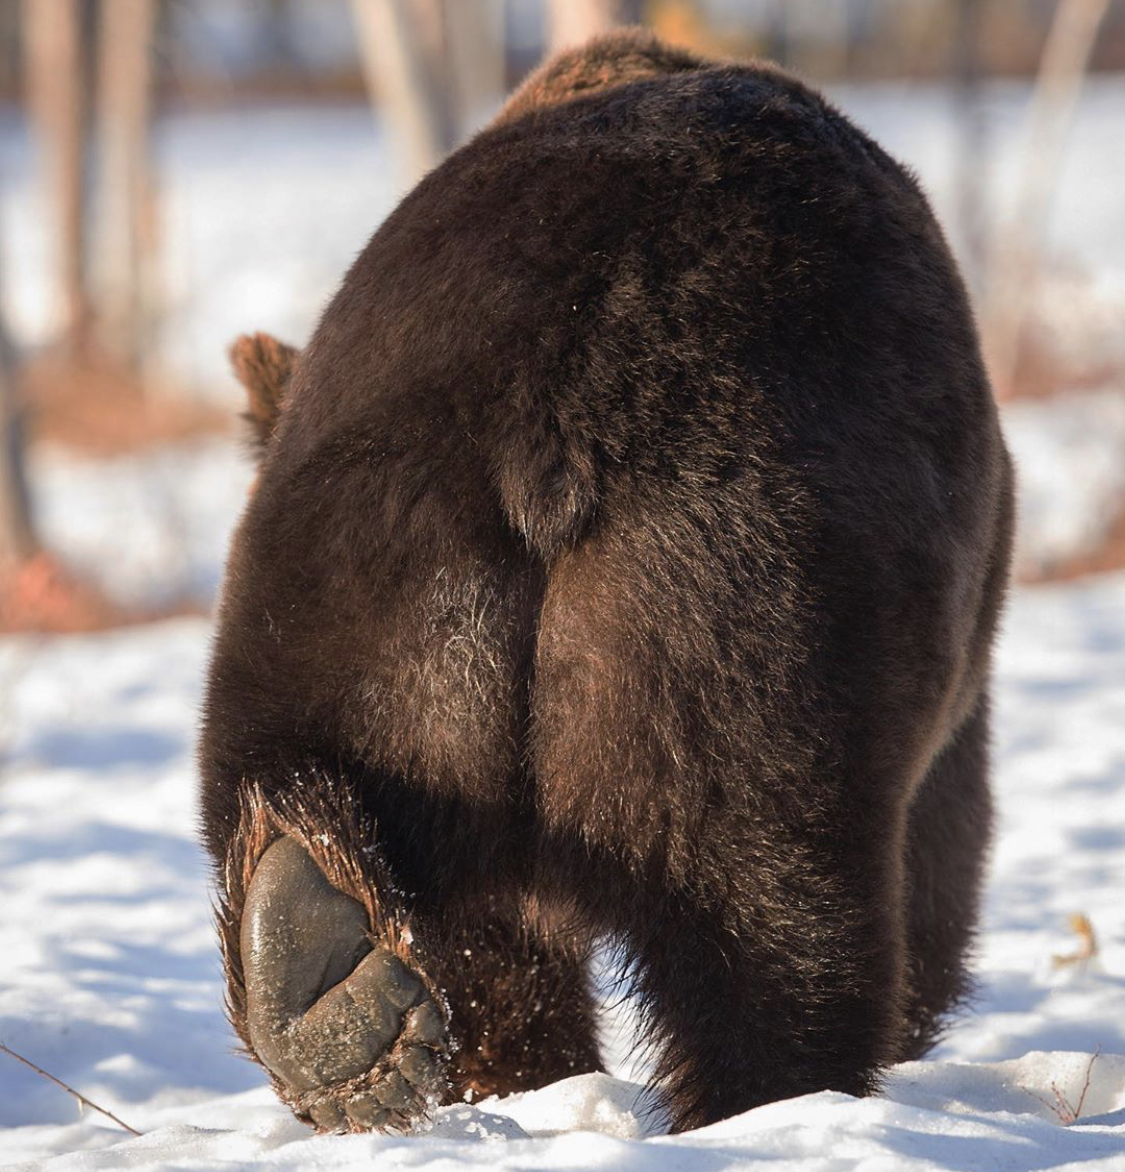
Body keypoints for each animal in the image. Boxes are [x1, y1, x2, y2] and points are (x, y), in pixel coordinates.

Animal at [198, 29, 1017, 1134]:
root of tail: (556, 401)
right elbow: (947, 826)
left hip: (362, 580)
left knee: (375, 844)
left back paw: (332, 993)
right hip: (740, 612)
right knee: (770, 905)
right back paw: (770, 1094)